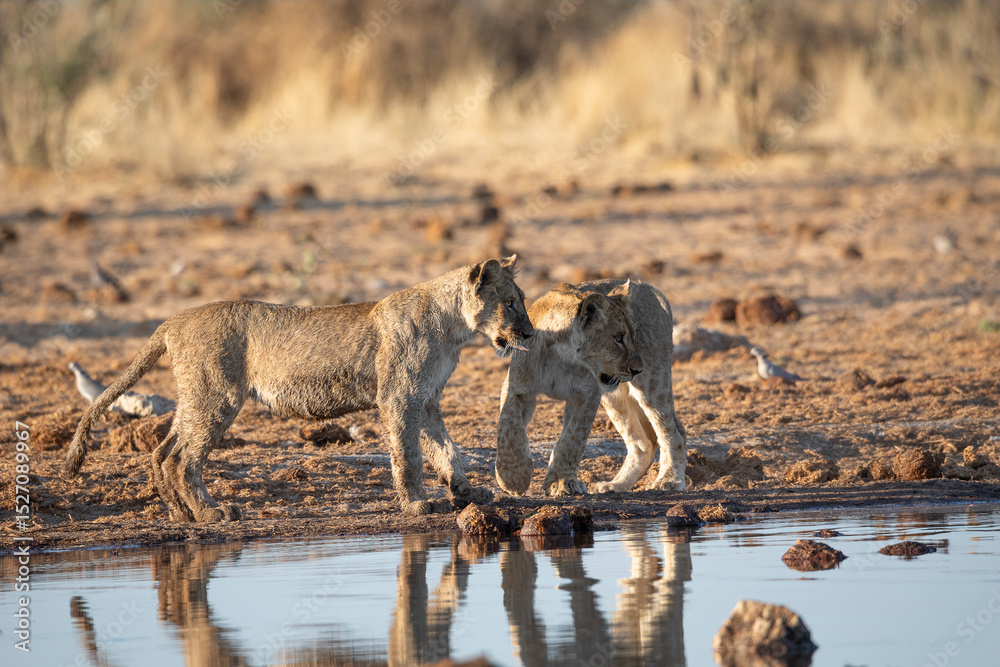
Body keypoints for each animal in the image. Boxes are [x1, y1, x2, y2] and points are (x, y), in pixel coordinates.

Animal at [63, 256, 534, 520]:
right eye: (511, 302)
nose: (529, 333)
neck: (455, 328)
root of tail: (173, 320)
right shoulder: (398, 398)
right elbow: (410, 457)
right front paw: (417, 505)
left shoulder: (428, 399)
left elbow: (446, 450)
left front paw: (469, 493)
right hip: (219, 397)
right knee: (183, 458)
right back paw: (212, 513)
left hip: (196, 396)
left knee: (163, 452)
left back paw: (182, 515)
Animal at [494, 279, 686, 497]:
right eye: (618, 337)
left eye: (634, 334)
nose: (638, 369)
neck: (562, 356)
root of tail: (649, 287)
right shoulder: (516, 388)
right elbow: (509, 429)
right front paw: (513, 477)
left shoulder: (587, 395)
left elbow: (572, 439)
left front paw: (561, 482)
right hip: (615, 397)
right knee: (643, 443)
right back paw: (615, 485)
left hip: (652, 384)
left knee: (673, 434)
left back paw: (669, 480)